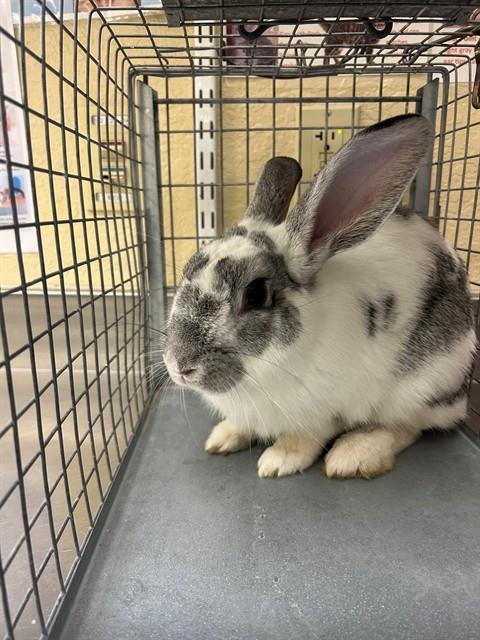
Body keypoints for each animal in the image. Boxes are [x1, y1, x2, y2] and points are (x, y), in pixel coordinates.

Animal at [163, 114, 477, 480]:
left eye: (255, 293)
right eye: (188, 267)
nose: (180, 366)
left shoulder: (322, 412)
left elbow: (304, 438)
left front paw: (277, 462)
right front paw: (224, 436)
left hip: (422, 385)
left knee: (406, 426)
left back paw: (353, 455)